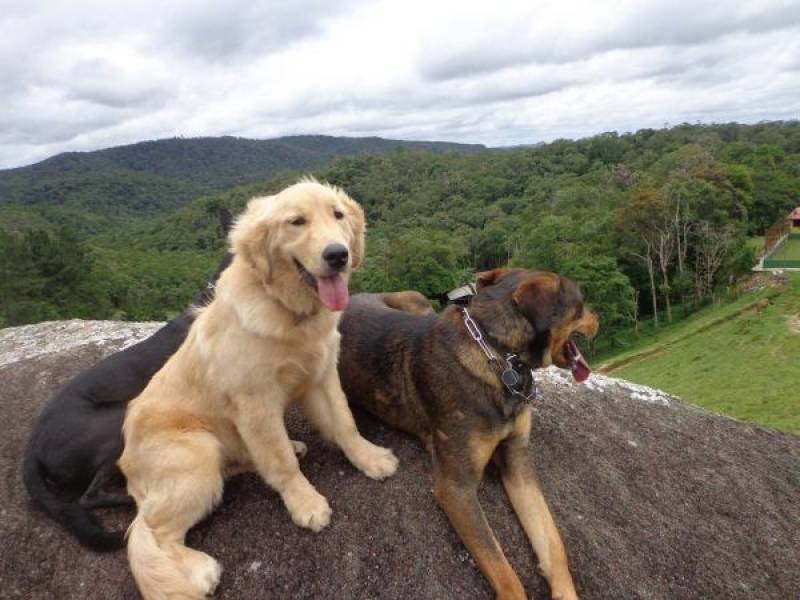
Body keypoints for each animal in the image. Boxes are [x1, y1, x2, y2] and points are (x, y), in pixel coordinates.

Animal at [119, 180, 400, 596]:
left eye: (338, 215)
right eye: (296, 221)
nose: (338, 255)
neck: (290, 311)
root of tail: (126, 466)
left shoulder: (323, 375)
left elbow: (345, 424)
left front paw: (370, 458)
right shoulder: (256, 403)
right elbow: (280, 461)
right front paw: (305, 502)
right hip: (198, 451)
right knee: (149, 530)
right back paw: (198, 569)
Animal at [340, 268, 596, 600]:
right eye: (581, 305)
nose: (597, 318)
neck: (496, 352)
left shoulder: (517, 461)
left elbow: (552, 542)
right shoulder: (455, 489)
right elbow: (503, 572)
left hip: (417, 301)